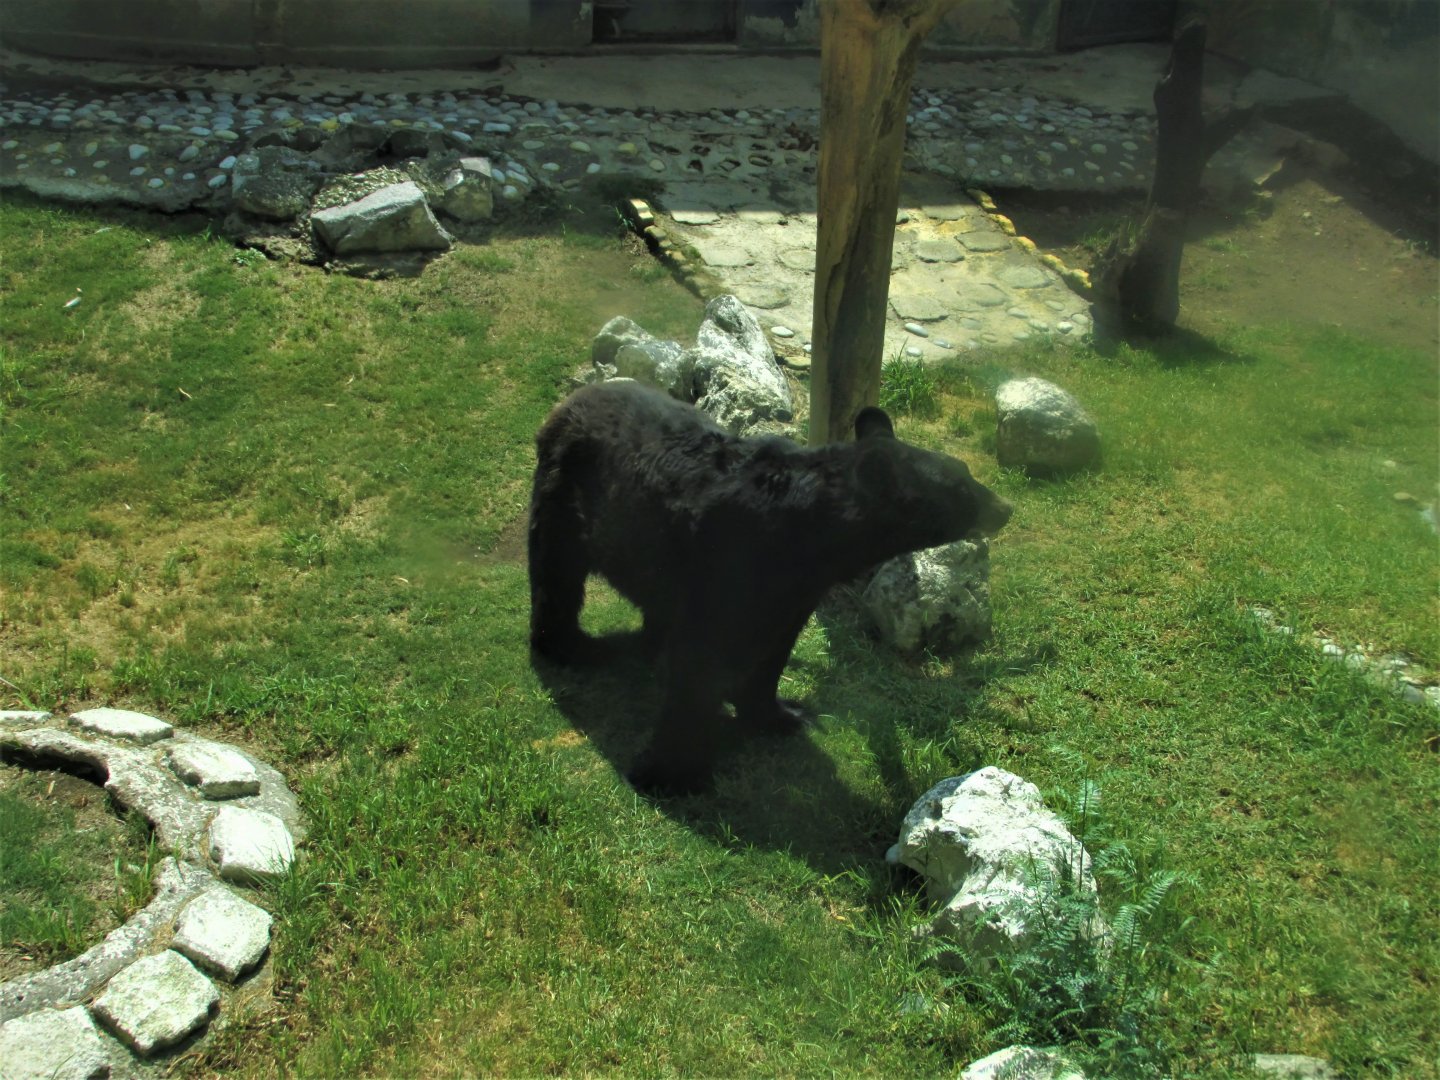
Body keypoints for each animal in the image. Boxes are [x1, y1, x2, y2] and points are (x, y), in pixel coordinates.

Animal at [528, 380, 1012, 795]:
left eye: (965, 471)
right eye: (959, 490)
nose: (1004, 507)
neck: (809, 532)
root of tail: (575, 397)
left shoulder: (796, 587)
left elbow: (773, 649)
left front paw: (783, 715)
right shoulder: (728, 559)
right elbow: (700, 658)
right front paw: (670, 774)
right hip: (564, 488)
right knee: (556, 571)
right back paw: (573, 646)